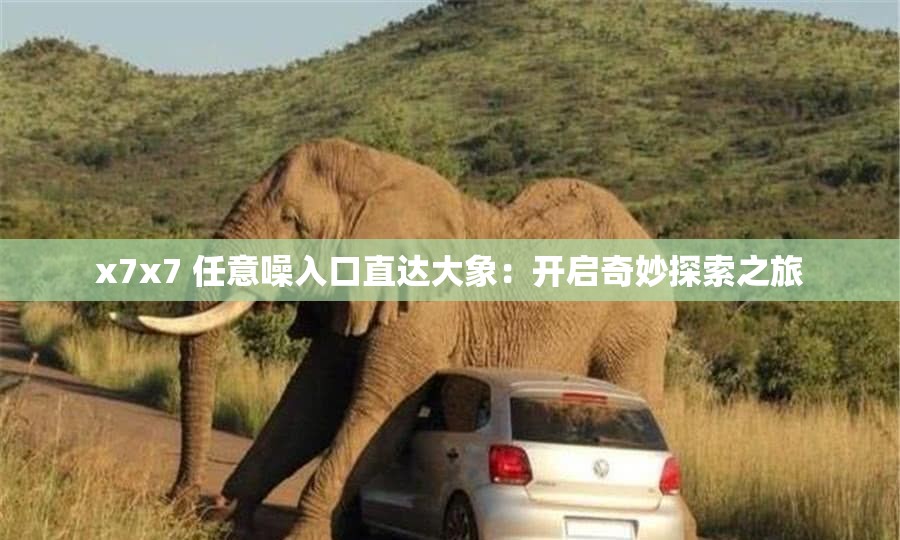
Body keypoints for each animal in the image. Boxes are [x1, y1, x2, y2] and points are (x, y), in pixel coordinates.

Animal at [112, 138, 684, 539]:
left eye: (294, 223)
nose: (179, 500)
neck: (380, 175)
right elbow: (309, 406)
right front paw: (229, 518)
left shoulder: (425, 308)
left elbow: (376, 410)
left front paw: (297, 535)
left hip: (632, 326)